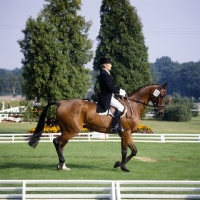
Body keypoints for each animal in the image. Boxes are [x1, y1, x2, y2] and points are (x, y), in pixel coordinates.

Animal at [28, 82, 168, 173]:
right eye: (161, 95)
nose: (161, 112)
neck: (132, 106)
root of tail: (61, 102)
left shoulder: (125, 134)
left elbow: (132, 151)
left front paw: (118, 164)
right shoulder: (126, 133)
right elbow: (126, 151)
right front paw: (122, 167)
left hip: (66, 130)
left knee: (61, 145)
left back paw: (62, 165)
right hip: (72, 130)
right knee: (56, 141)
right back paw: (61, 164)